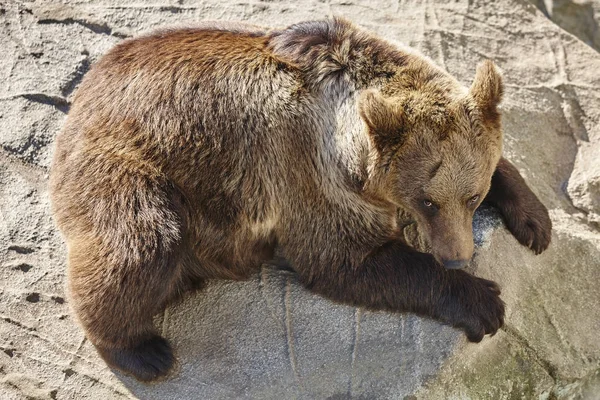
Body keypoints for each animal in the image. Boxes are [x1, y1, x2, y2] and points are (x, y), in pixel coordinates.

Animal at [49, 18, 552, 382]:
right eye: (427, 202)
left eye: (473, 197)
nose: (456, 256)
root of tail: (83, 95)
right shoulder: (306, 171)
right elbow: (345, 258)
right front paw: (484, 301)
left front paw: (535, 222)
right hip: (131, 164)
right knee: (140, 243)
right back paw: (143, 351)